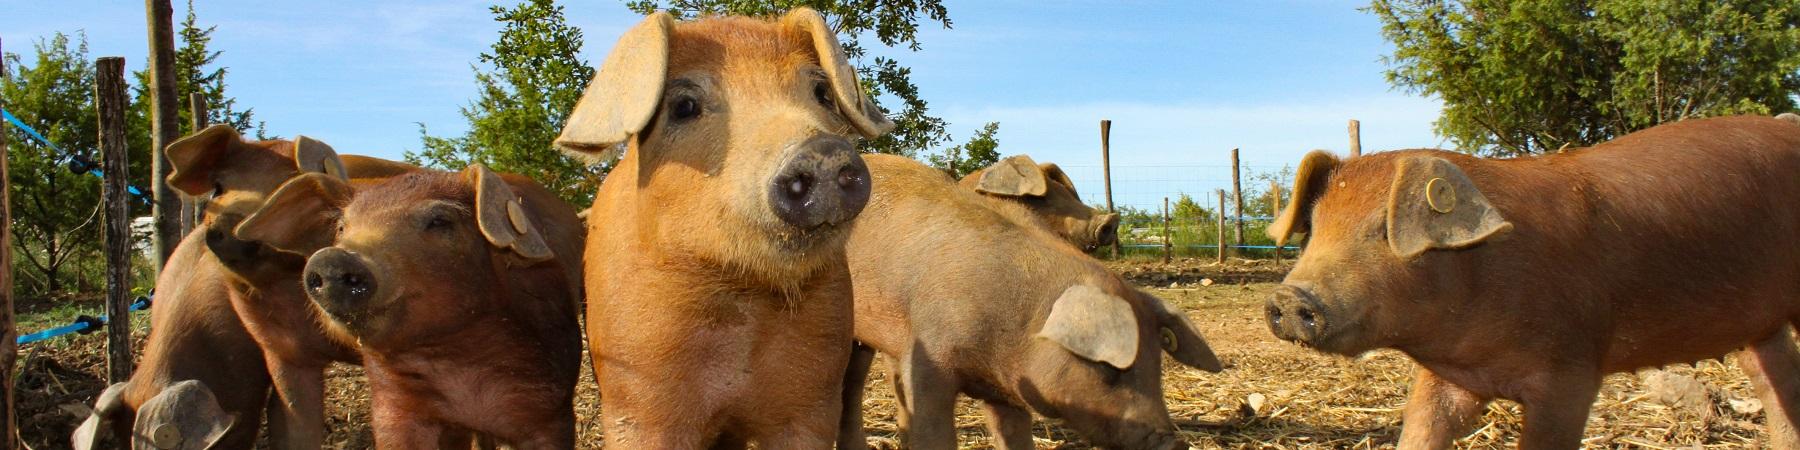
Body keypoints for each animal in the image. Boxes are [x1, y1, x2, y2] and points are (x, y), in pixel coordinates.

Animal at [543, 7, 889, 446]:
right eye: (684, 106)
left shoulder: (815, 394)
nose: (822, 150)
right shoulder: (635, 392)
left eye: (822, 92)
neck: (741, 297)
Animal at [1267, 114, 1800, 448]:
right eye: (1314, 227)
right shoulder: (1447, 377)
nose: (1289, 296)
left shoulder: (1571, 370)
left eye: (1383, 229)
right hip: (1760, 327)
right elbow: (1421, 426)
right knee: (1776, 386)